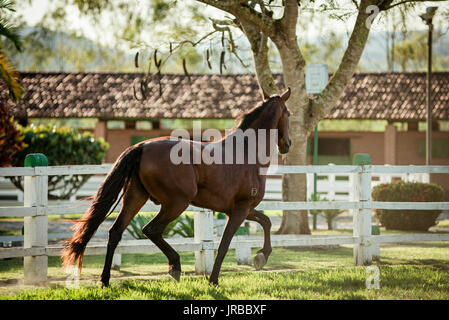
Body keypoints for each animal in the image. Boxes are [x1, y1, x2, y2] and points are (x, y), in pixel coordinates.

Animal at [62, 87, 290, 284]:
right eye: (288, 113)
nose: (287, 145)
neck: (245, 152)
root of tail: (141, 146)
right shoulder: (240, 209)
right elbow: (225, 244)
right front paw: (214, 280)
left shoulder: (240, 209)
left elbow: (266, 221)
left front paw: (261, 256)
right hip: (176, 203)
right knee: (151, 229)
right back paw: (175, 266)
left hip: (136, 198)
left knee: (116, 232)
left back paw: (105, 280)